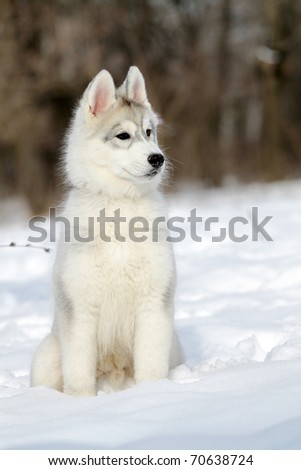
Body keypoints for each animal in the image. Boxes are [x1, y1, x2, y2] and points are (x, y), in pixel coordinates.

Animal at [30, 67, 182, 396]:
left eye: (149, 132)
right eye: (123, 135)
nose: (158, 158)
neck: (119, 205)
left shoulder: (154, 304)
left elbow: (151, 366)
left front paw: (154, 395)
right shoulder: (79, 310)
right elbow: (78, 375)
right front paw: (83, 403)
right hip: (48, 353)